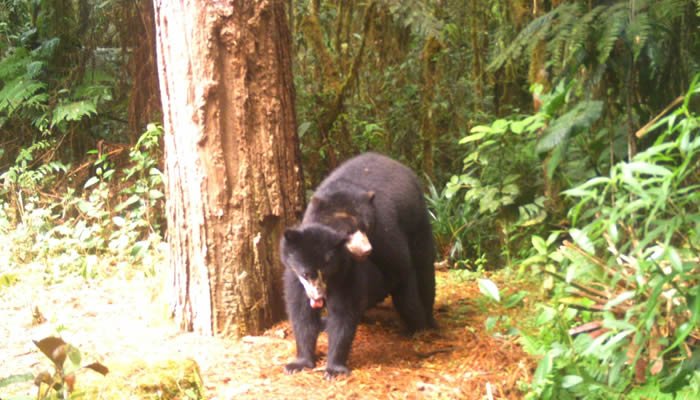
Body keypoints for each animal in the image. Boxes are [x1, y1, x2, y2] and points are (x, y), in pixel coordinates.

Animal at [281, 152, 436, 377]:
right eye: (347, 231)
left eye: (365, 226)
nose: (366, 250)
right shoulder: (296, 270)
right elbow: (300, 309)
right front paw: (298, 363)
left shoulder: (383, 237)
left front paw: (334, 368)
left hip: (418, 223)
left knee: (422, 271)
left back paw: (424, 324)